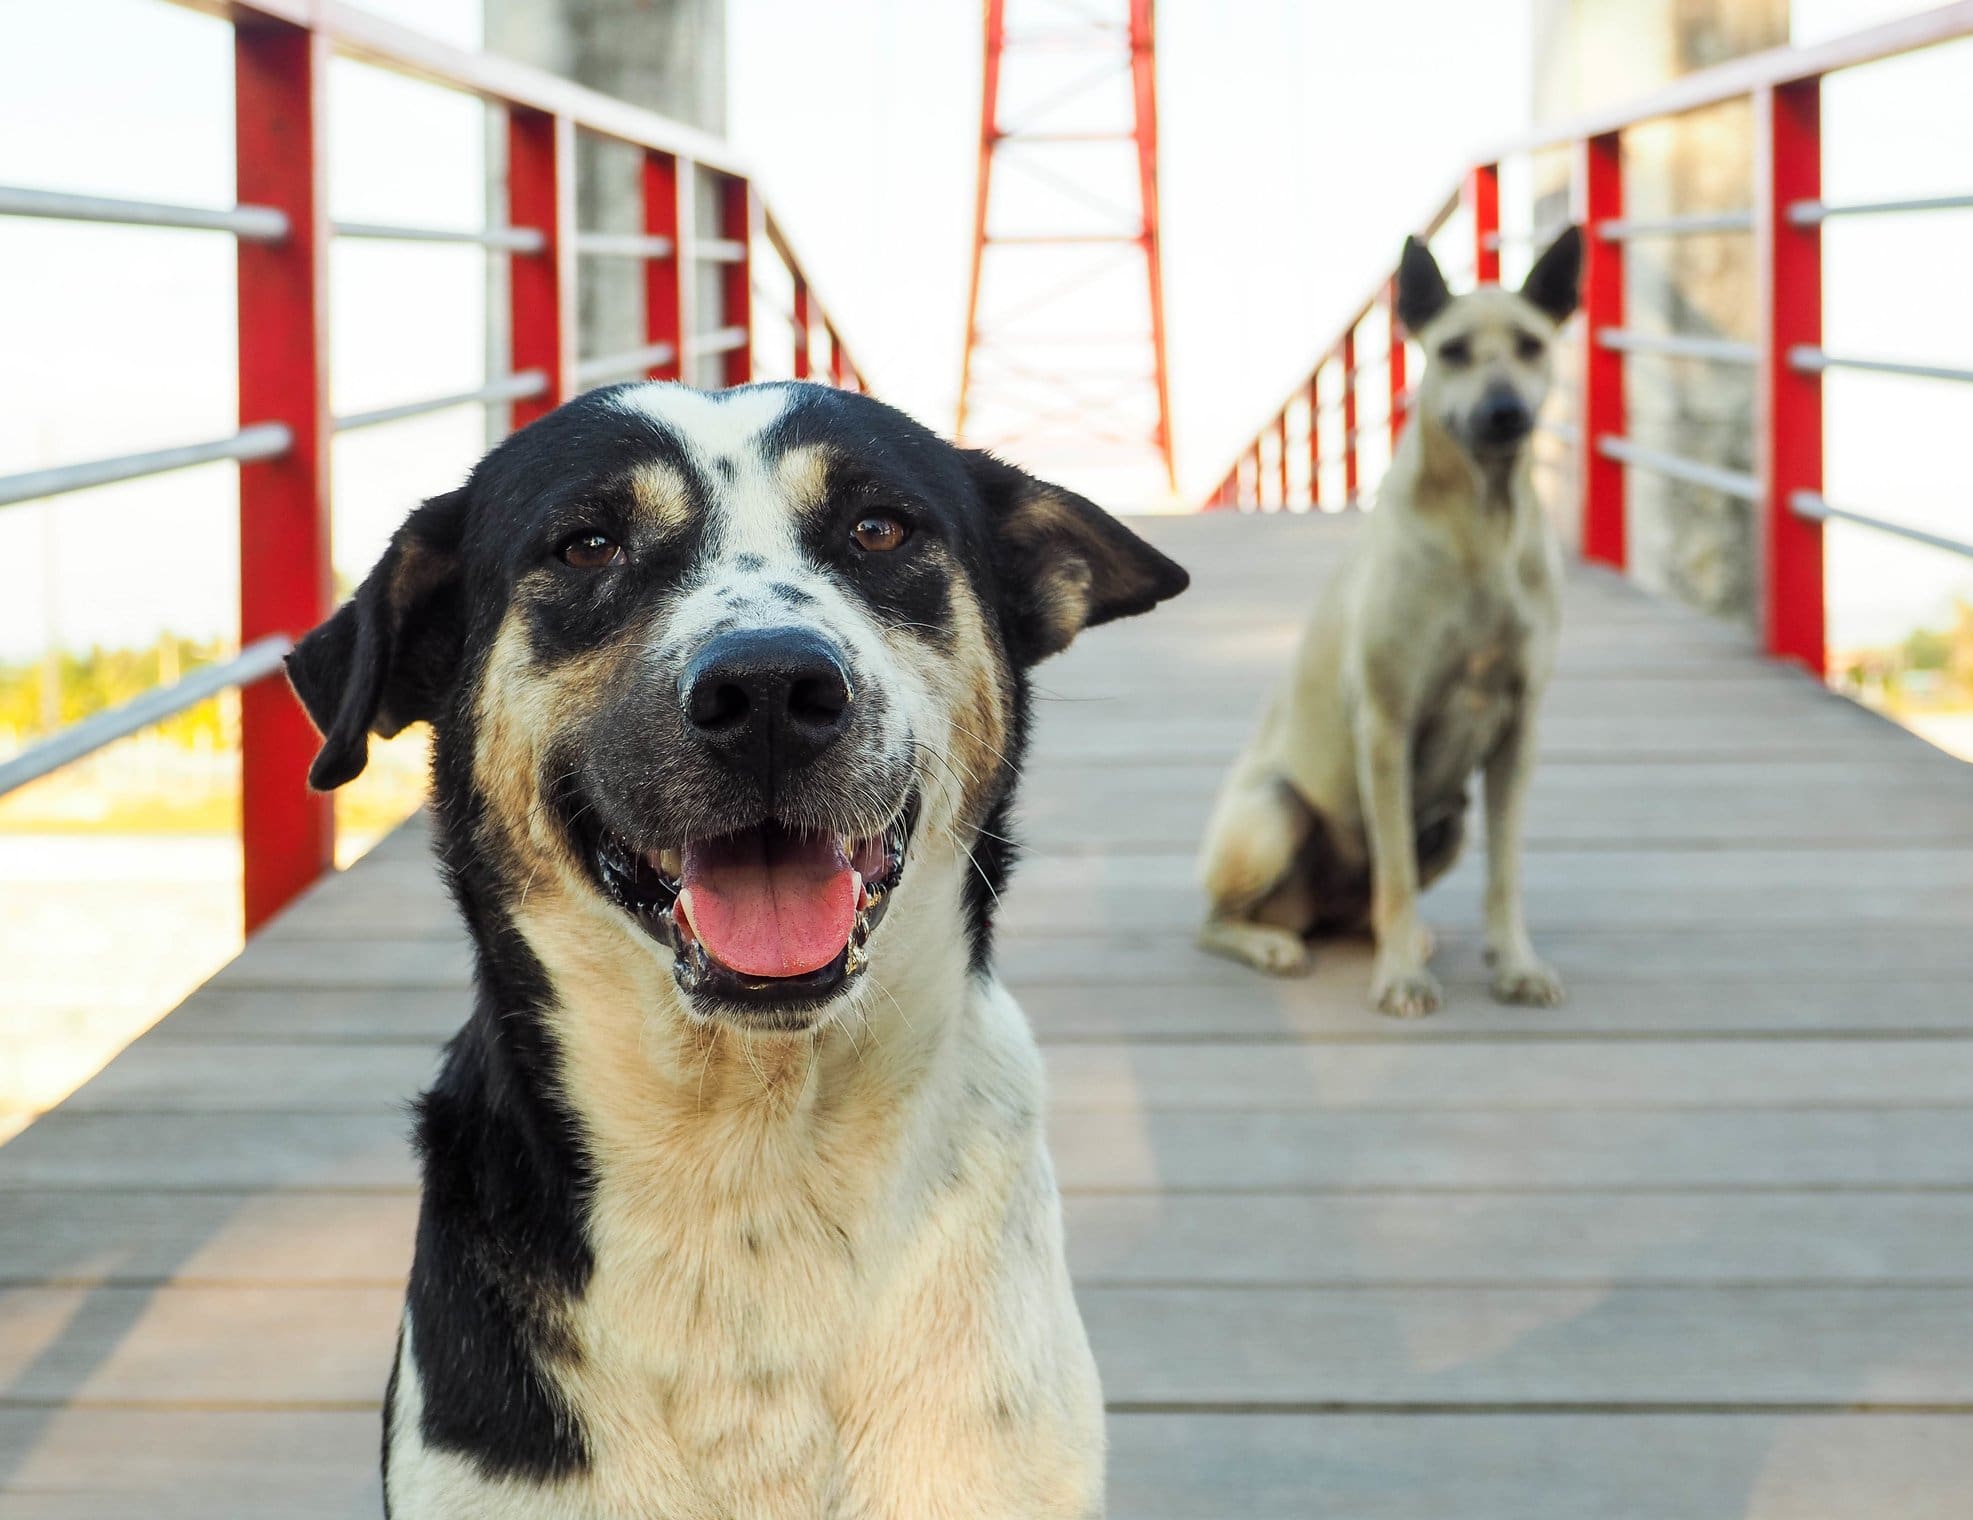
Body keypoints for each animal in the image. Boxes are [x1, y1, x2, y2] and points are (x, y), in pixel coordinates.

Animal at [1191, 225, 1578, 1010]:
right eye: (1453, 349)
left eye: (1530, 345)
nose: (1505, 413)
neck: (1483, 523)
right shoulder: (1386, 723)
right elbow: (1394, 872)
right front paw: (1400, 977)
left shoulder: (1517, 732)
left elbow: (1505, 872)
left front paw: (1515, 963)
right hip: (1273, 812)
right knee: (1219, 917)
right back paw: (1274, 943)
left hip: (1450, 821)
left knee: (1362, 911)